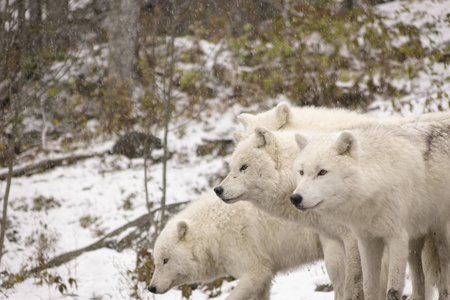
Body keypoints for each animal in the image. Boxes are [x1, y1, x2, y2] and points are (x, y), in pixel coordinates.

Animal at [148, 192, 344, 300]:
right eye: (155, 261)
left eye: (165, 260)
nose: (152, 287)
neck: (213, 231)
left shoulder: (243, 247)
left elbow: (255, 276)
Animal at [292, 122, 450, 300]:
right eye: (301, 172)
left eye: (322, 172)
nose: (295, 198)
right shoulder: (367, 241)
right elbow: (368, 287)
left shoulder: (397, 238)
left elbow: (392, 290)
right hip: (414, 242)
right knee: (419, 274)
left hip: (439, 233)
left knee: (444, 259)